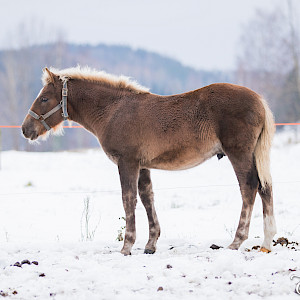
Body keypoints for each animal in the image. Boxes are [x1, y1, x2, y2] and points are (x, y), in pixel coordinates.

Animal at [21, 66, 276, 255]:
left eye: (44, 98)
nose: (25, 129)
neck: (113, 111)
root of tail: (259, 100)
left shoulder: (127, 163)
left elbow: (128, 200)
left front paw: (126, 247)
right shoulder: (143, 166)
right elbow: (147, 199)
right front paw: (150, 245)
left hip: (238, 153)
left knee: (249, 187)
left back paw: (236, 241)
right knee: (265, 187)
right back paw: (267, 242)